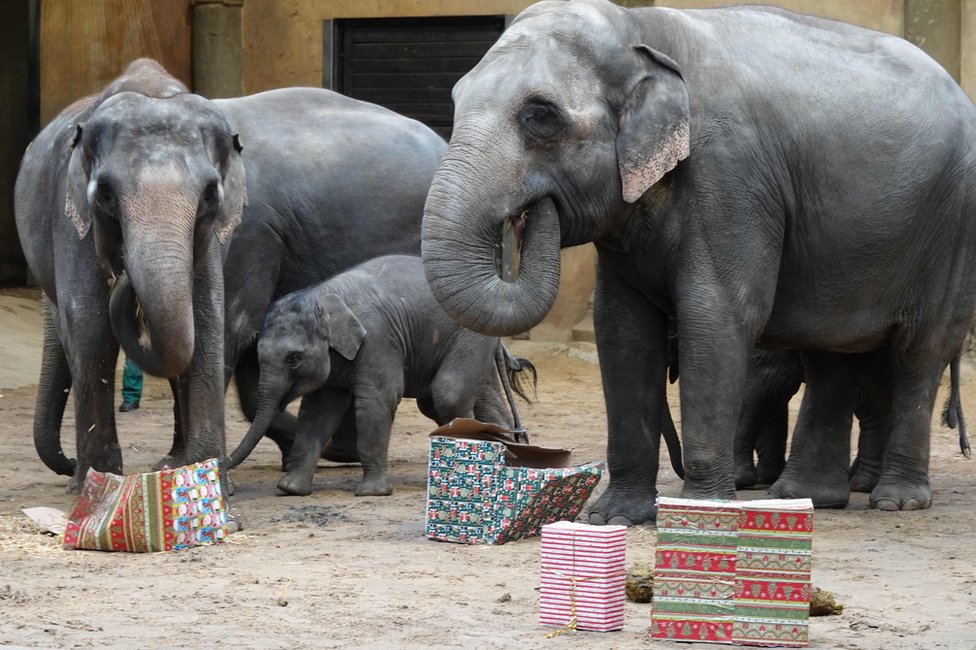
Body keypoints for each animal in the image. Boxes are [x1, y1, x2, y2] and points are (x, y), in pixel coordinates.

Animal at [17, 58, 446, 491]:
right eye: (103, 193)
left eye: (210, 193)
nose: (68, 463)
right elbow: (99, 328)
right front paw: (159, 467)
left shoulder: (249, 233)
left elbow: (223, 328)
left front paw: (188, 467)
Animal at [223, 255, 537, 497]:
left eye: (293, 359)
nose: (223, 468)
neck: (324, 296)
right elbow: (318, 412)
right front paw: (290, 489)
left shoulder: (378, 339)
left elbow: (378, 399)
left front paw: (371, 492)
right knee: (472, 401)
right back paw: (508, 462)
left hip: (469, 336)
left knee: (448, 395)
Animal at [420, 0, 976, 524]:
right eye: (455, 99)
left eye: (541, 116)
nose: (528, 215)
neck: (641, 29)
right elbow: (621, 329)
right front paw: (613, 516)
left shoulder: (731, 177)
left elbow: (718, 315)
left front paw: (702, 511)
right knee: (834, 354)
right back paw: (805, 497)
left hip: (952, 230)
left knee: (919, 351)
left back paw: (897, 500)